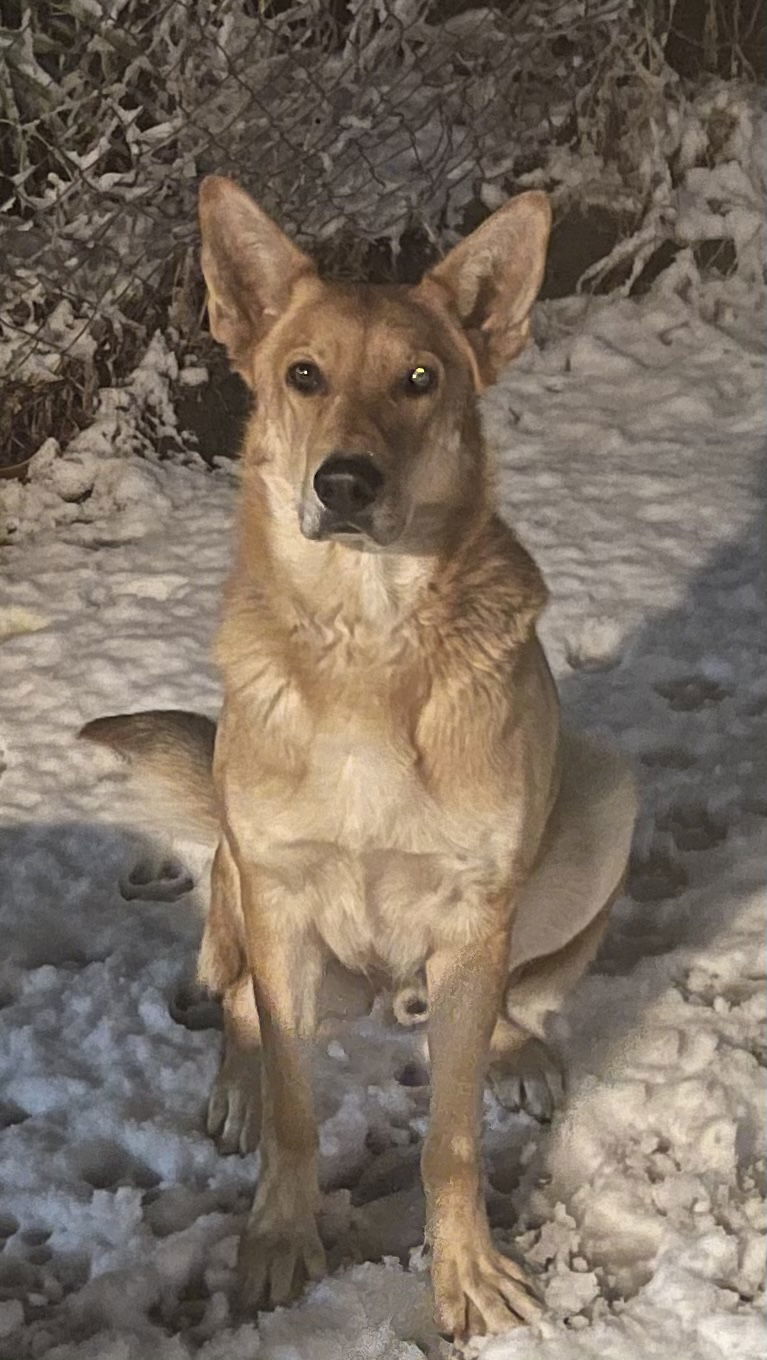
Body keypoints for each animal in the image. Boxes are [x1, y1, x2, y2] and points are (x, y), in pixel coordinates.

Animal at [80, 178, 639, 1338]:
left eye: (419, 379)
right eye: (304, 374)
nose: (344, 481)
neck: (369, 638)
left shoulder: (474, 916)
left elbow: (452, 1137)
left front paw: (465, 1272)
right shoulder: (282, 900)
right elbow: (297, 1107)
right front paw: (277, 1240)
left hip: (604, 796)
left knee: (520, 990)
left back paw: (511, 1043)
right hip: (263, 904)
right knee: (238, 995)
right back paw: (238, 1080)